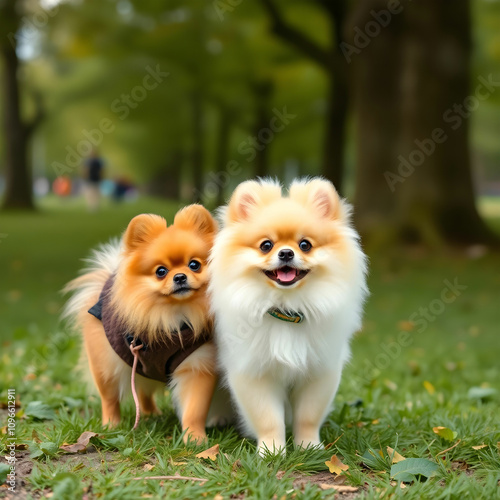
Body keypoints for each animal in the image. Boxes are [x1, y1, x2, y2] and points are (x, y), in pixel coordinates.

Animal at [62, 205, 217, 444]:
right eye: (161, 271)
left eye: (194, 265)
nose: (180, 277)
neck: (175, 313)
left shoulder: (197, 365)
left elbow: (194, 410)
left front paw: (195, 439)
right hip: (106, 365)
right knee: (110, 398)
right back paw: (111, 425)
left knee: (142, 391)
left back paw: (151, 413)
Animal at [207, 177, 368, 454]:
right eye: (266, 245)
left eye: (305, 245)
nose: (286, 253)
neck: (286, 309)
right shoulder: (254, 372)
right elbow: (269, 418)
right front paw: (272, 451)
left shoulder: (319, 370)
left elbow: (308, 416)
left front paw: (309, 447)